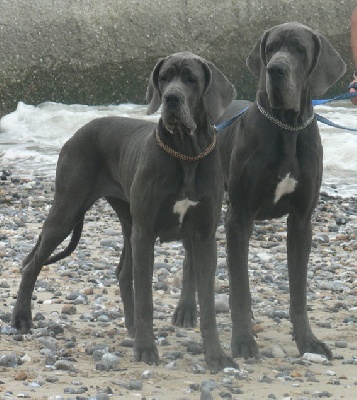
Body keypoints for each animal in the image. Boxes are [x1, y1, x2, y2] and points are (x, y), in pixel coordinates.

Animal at [12, 51, 236, 370]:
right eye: (164, 78)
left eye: (191, 79)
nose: (171, 98)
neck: (187, 152)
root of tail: (75, 134)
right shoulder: (146, 233)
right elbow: (145, 298)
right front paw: (146, 349)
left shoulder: (204, 237)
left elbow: (206, 303)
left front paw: (216, 355)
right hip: (68, 210)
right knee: (32, 263)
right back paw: (21, 318)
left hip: (128, 221)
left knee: (122, 271)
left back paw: (131, 327)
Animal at [217, 21, 344, 360]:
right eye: (271, 48)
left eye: (299, 49)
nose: (275, 70)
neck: (287, 126)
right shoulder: (239, 218)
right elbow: (240, 289)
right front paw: (243, 340)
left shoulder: (301, 220)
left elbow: (298, 290)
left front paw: (307, 341)